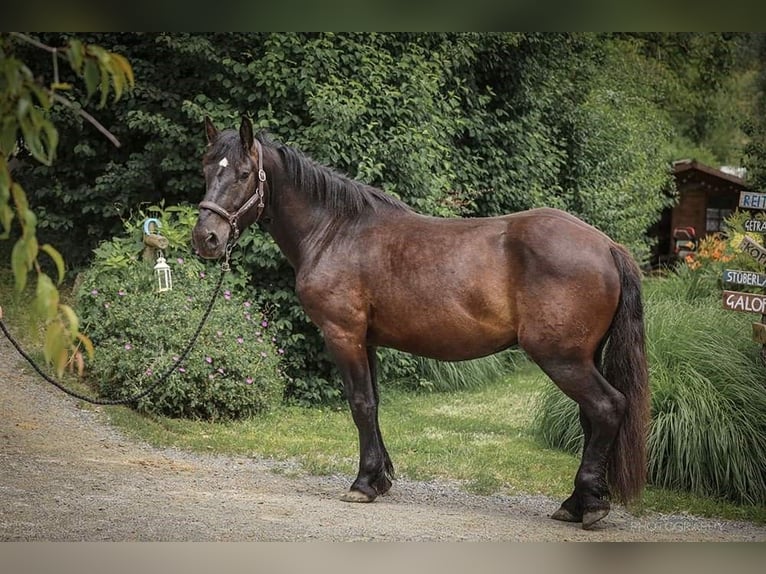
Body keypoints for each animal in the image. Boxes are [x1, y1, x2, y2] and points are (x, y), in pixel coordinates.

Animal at [192, 116, 648, 532]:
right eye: (206, 169)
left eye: (244, 174)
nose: (206, 238)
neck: (335, 231)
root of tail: (607, 246)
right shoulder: (367, 341)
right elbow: (374, 403)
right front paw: (380, 478)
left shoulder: (343, 335)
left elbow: (360, 404)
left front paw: (363, 483)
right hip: (582, 358)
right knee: (591, 417)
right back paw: (575, 503)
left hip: (561, 358)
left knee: (607, 407)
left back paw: (589, 505)